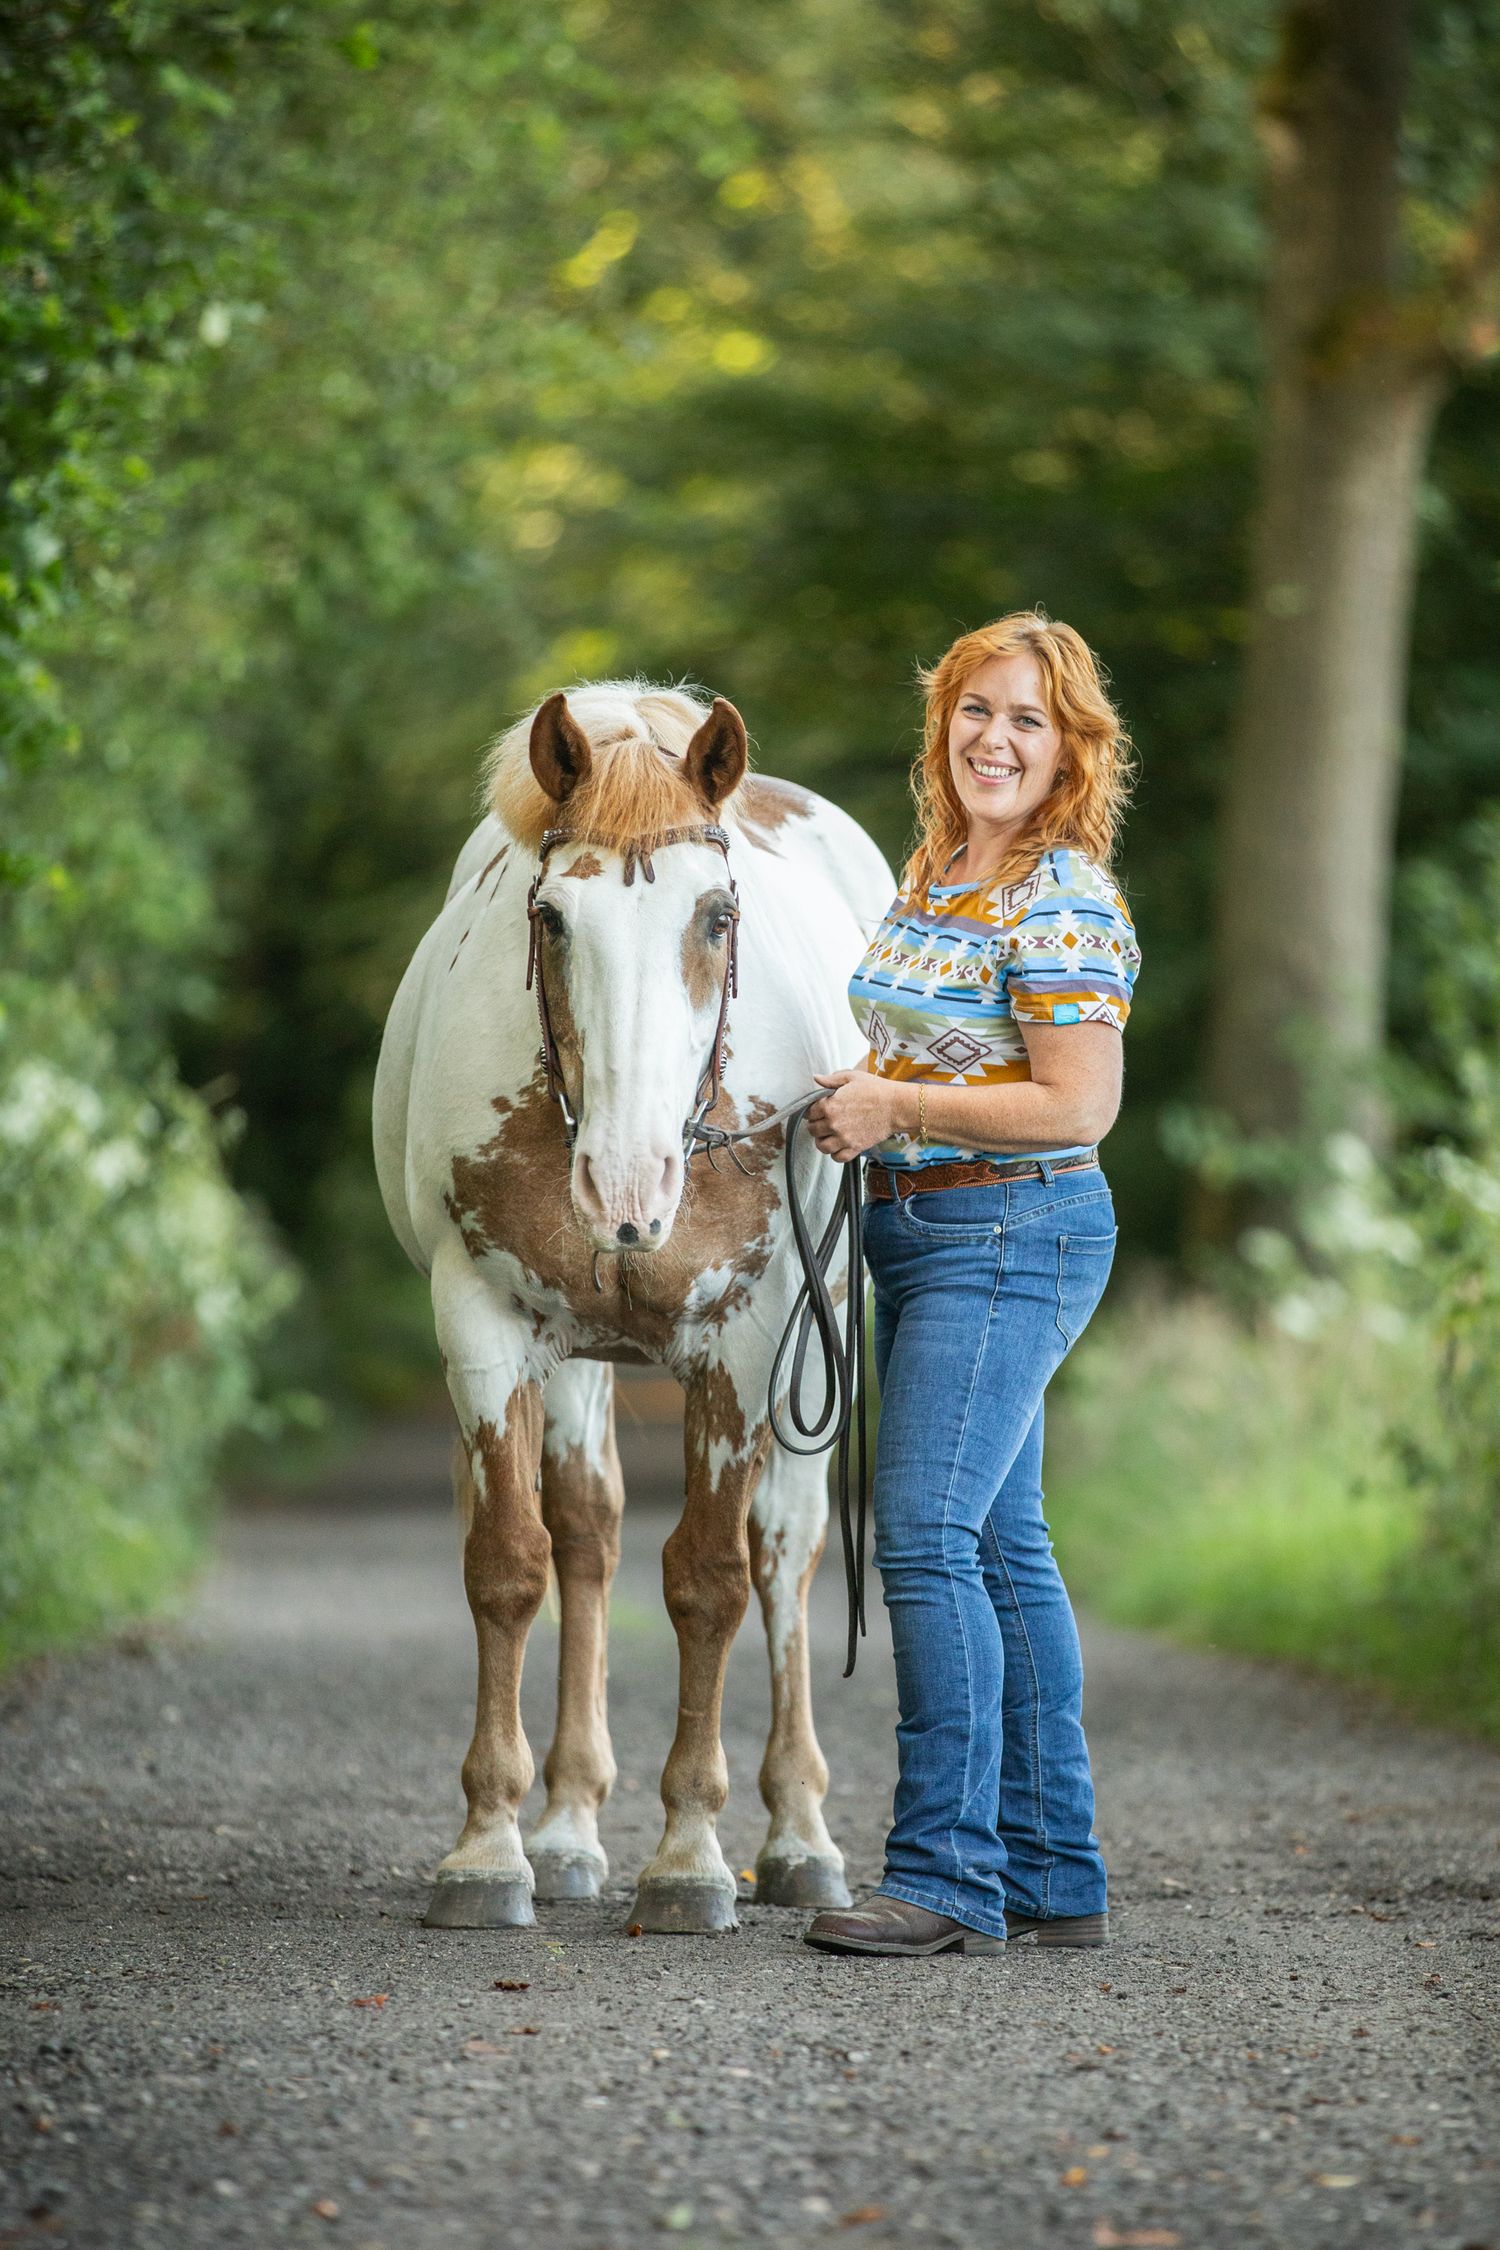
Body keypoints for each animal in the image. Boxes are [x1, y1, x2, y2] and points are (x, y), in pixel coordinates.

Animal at [373, 678, 894, 1933]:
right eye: (553, 918)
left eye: (716, 916)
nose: (625, 1184)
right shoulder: (484, 1322)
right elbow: (510, 1564)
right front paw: (488, 1850)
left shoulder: (745, 1347)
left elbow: (709, 1582)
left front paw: (690, 1859)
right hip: (573, 1353)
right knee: (588, 1533)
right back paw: (565, 1832)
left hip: (823, 1334)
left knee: (784, 1548)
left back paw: (800, 1838)